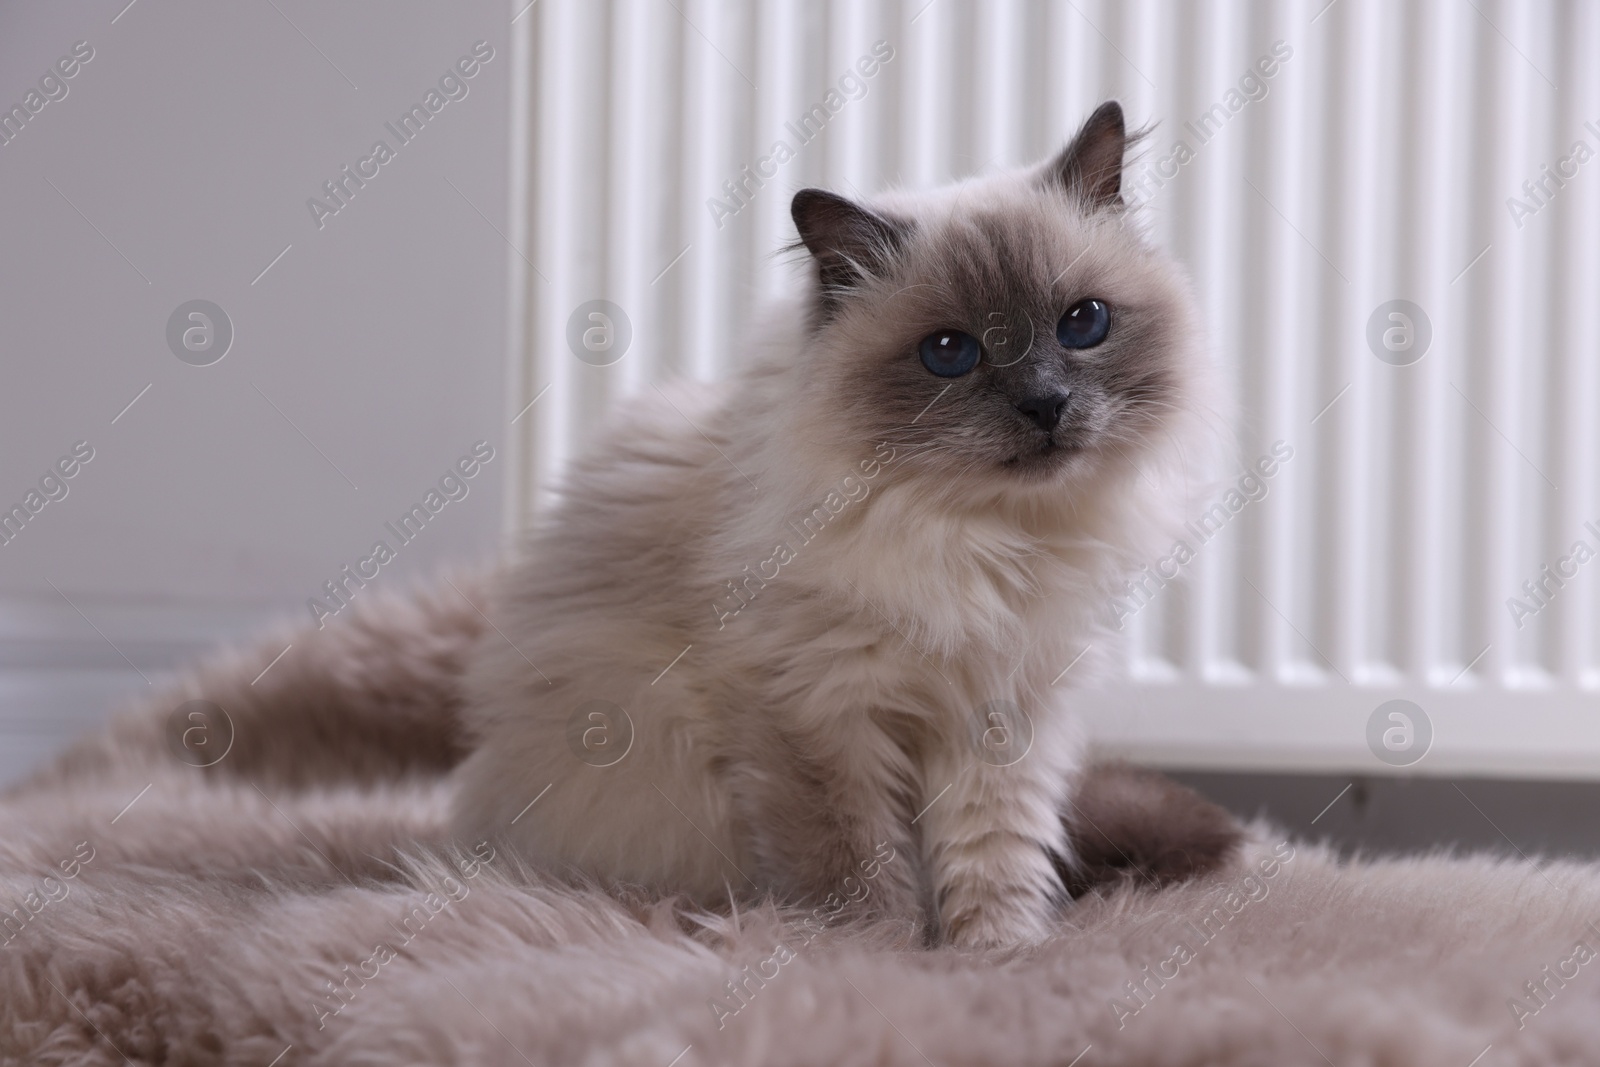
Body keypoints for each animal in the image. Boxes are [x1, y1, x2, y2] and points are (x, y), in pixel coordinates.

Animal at [451, 102, 1209, 953]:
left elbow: (995, 852)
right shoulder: (814, 711)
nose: (1045, 404)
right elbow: (852, 862)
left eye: (1083, 323)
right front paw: (871, 957)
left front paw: (998, 951)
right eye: (950, 352)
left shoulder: (1000, 711)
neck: (979, 535)